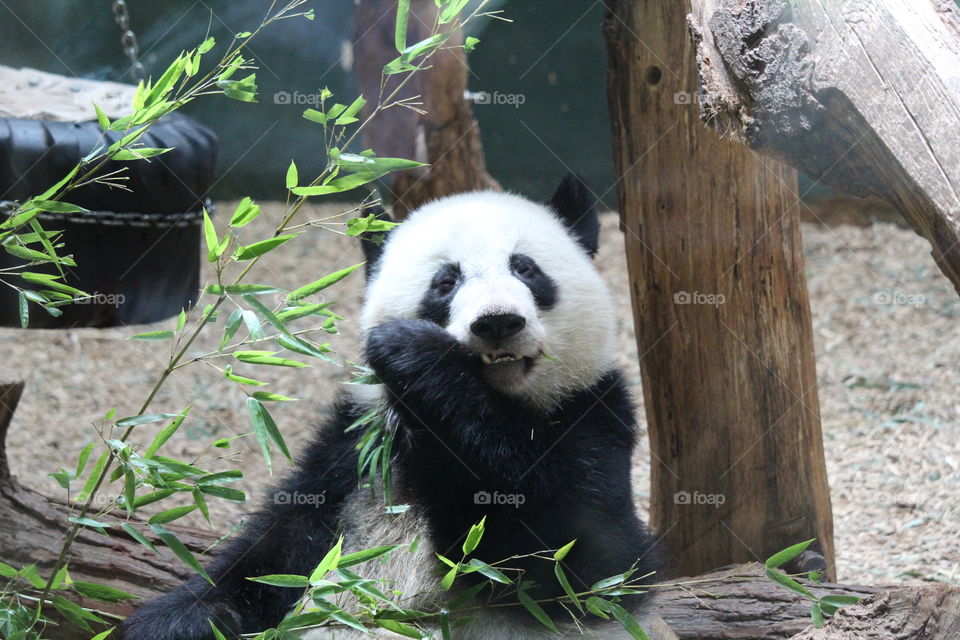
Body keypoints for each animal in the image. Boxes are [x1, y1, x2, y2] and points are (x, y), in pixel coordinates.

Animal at [120, 174, 661, 640]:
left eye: (525, 268)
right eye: (446, 282)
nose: (497, 322)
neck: (503, 405)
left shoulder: (593, 412)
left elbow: (580, 560)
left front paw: (417, 354)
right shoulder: (355, 446)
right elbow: (275, 556)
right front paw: (178, 620)